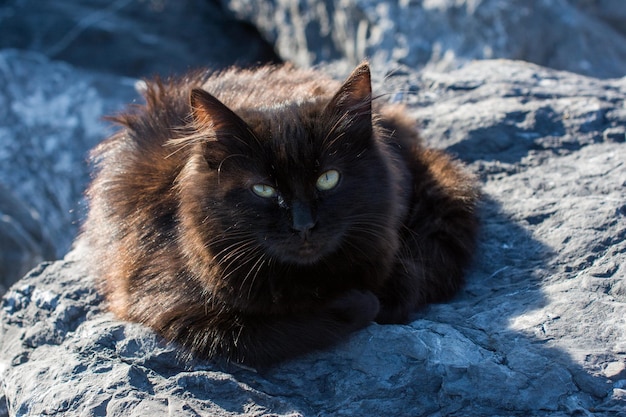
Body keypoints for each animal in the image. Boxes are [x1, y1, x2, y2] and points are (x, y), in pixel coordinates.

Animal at [80, 61, 476, 368]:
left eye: (328, 178)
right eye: (263, 190)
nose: (304, 225)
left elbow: (401, 284)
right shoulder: (174, 306)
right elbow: (271, 333)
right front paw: (358, 302)